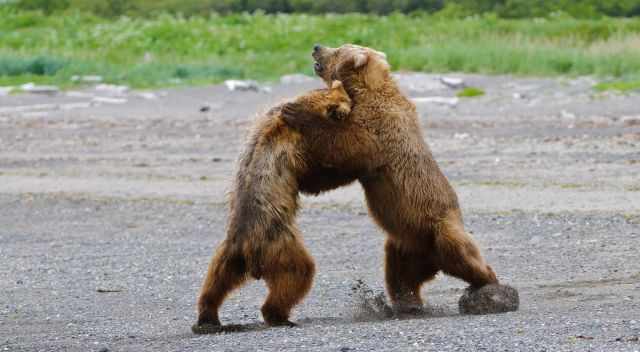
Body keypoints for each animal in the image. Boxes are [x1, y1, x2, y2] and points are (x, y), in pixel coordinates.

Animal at [282, 42, 516, 314]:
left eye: (338, 49)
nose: (316, 47)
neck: (364, 90)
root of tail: (432, 260)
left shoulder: (378, 128)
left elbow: (345, 145)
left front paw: (295, 111)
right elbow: (342, 168)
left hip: (440, 225)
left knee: (462, 251)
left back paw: (487, 282)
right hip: (403, 243)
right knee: (400, 274)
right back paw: (407, 302)